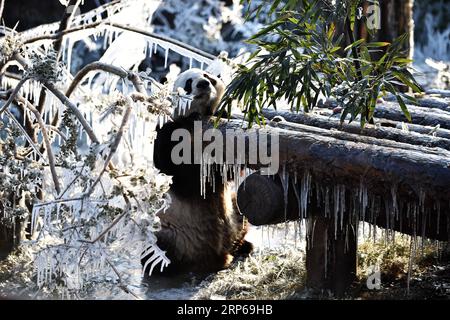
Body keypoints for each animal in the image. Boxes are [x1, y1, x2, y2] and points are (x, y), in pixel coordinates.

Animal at [142, 69, 251, 274]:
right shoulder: (169, 131)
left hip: (234, 215)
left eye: (208, 76)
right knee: (156, 250)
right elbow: (182, 174)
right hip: (171, 231)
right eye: (188, 83)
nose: (203, 84)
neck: (199, 117)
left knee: (242, 210)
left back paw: (243, 246)